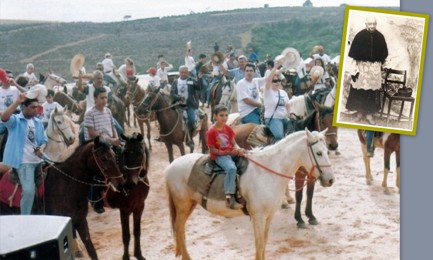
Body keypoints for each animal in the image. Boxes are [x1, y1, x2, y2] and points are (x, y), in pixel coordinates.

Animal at [164, 129, 332, 260]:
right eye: (318, 153)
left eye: (327, 152)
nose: (330, 180)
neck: (268, 171)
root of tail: (171, 166)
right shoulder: (258, 216)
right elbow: (259, 243)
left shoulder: (269, 216)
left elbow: (264, 242)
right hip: (182, 204)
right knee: (178, 228)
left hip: (190, 204)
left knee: (180, 230)